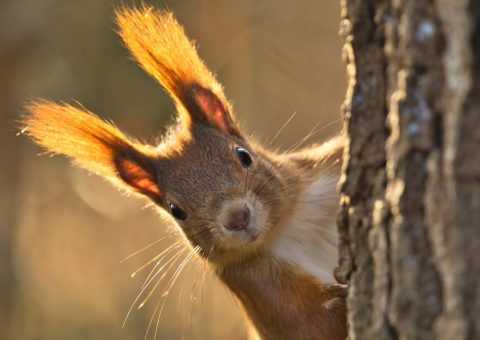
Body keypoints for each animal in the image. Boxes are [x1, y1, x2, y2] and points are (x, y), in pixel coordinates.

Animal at [22, 5, 346, 340]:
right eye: (176, 210)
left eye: (244, 156)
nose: (237, 217)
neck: (288, 228)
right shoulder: (260, 289)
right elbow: (313, 327)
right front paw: (341, 299)